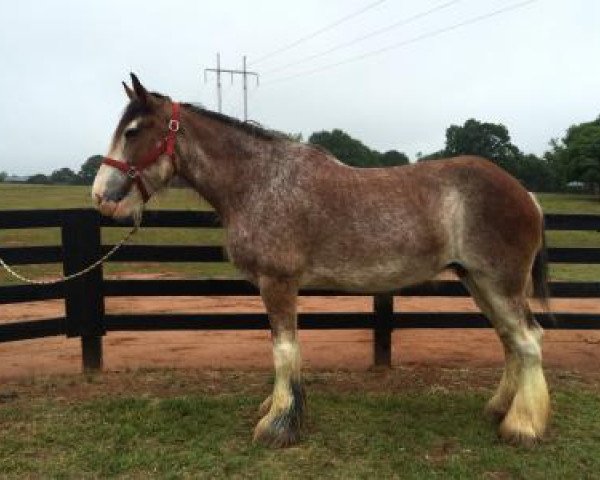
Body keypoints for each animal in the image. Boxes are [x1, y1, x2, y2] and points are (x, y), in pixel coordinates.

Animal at [95, 73, 552, 448]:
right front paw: (279, 410)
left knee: (528, 341)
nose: (101, 196)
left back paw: (522, 427)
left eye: (133, 130)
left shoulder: (277, 282)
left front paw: (277, 426)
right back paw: (499, 410)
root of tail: (525, 194)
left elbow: (284, 351)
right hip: (477, 282)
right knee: (511, 342)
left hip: (499, 283)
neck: (260, 182)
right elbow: (285, 352)